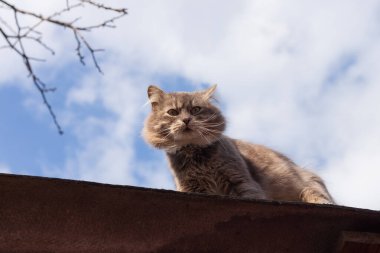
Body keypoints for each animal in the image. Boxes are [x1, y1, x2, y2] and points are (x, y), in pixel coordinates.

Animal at [143, 85, 336, 204]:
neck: (196, 156)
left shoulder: (241, 181)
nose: (186, 120)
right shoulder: (193, 188)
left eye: (196, 110)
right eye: (172, 112)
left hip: (309, 181)